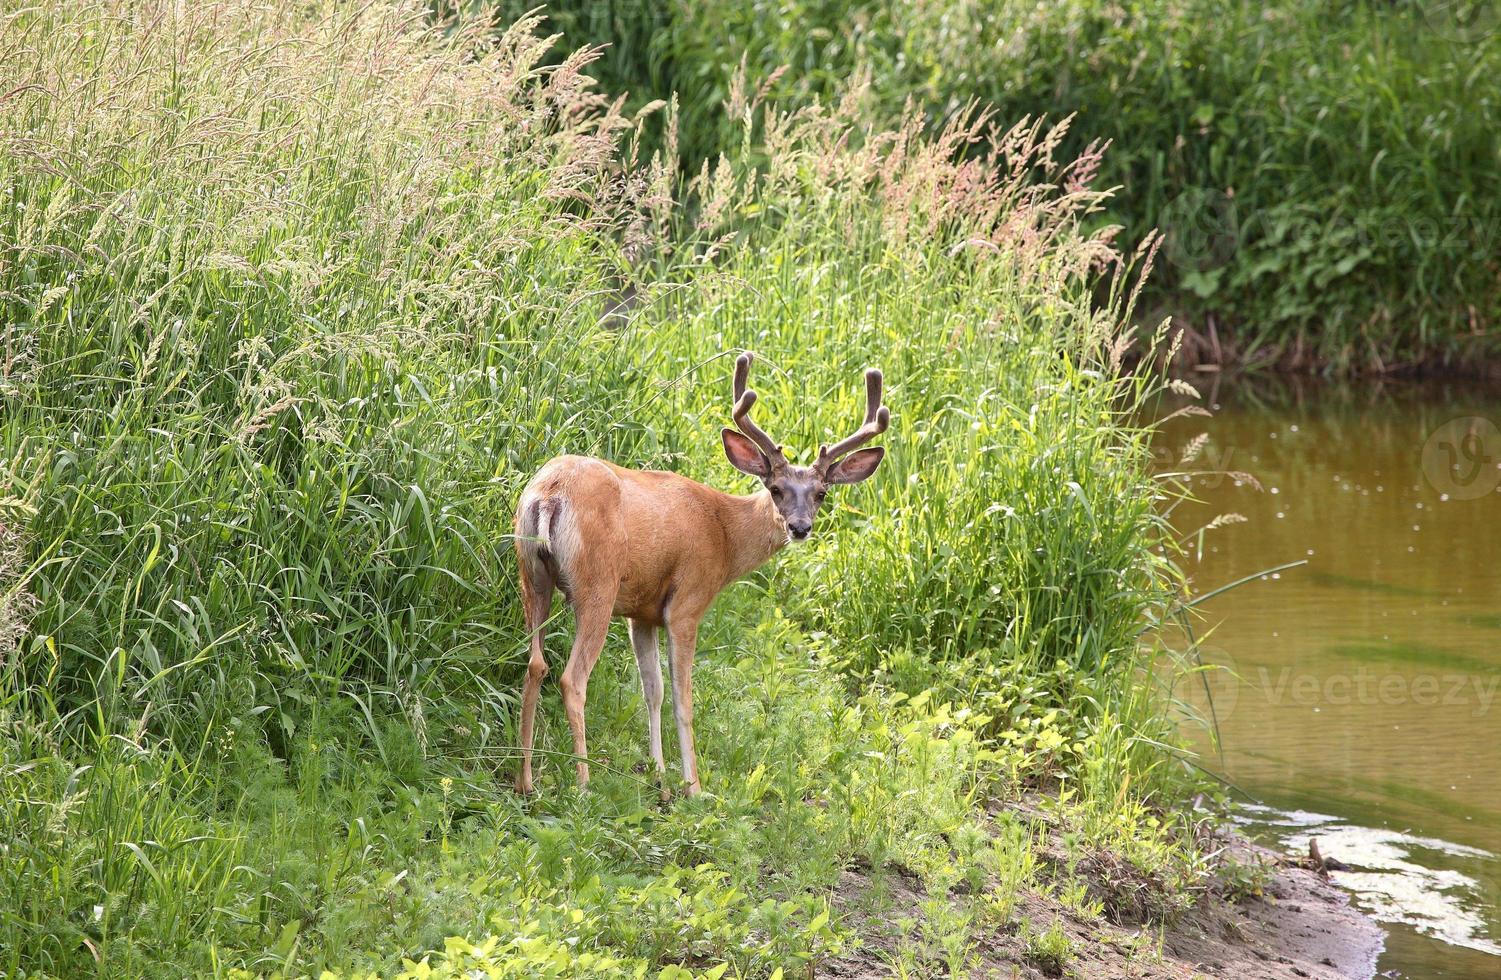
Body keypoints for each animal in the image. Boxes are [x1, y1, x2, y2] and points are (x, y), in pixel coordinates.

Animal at [516, 351, 888, 792]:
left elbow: (653, 690)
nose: (800, 527)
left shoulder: (641, 612)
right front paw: (693, 786)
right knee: (571, 679)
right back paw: (584, 783)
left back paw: (525, 781)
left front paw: (659, 776)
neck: (723, 533)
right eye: (776, 488)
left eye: (821, 493)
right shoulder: (687, 602)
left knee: (535, 665)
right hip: (597, 584)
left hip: (531, 575)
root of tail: (550, 493)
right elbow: (683, 699)